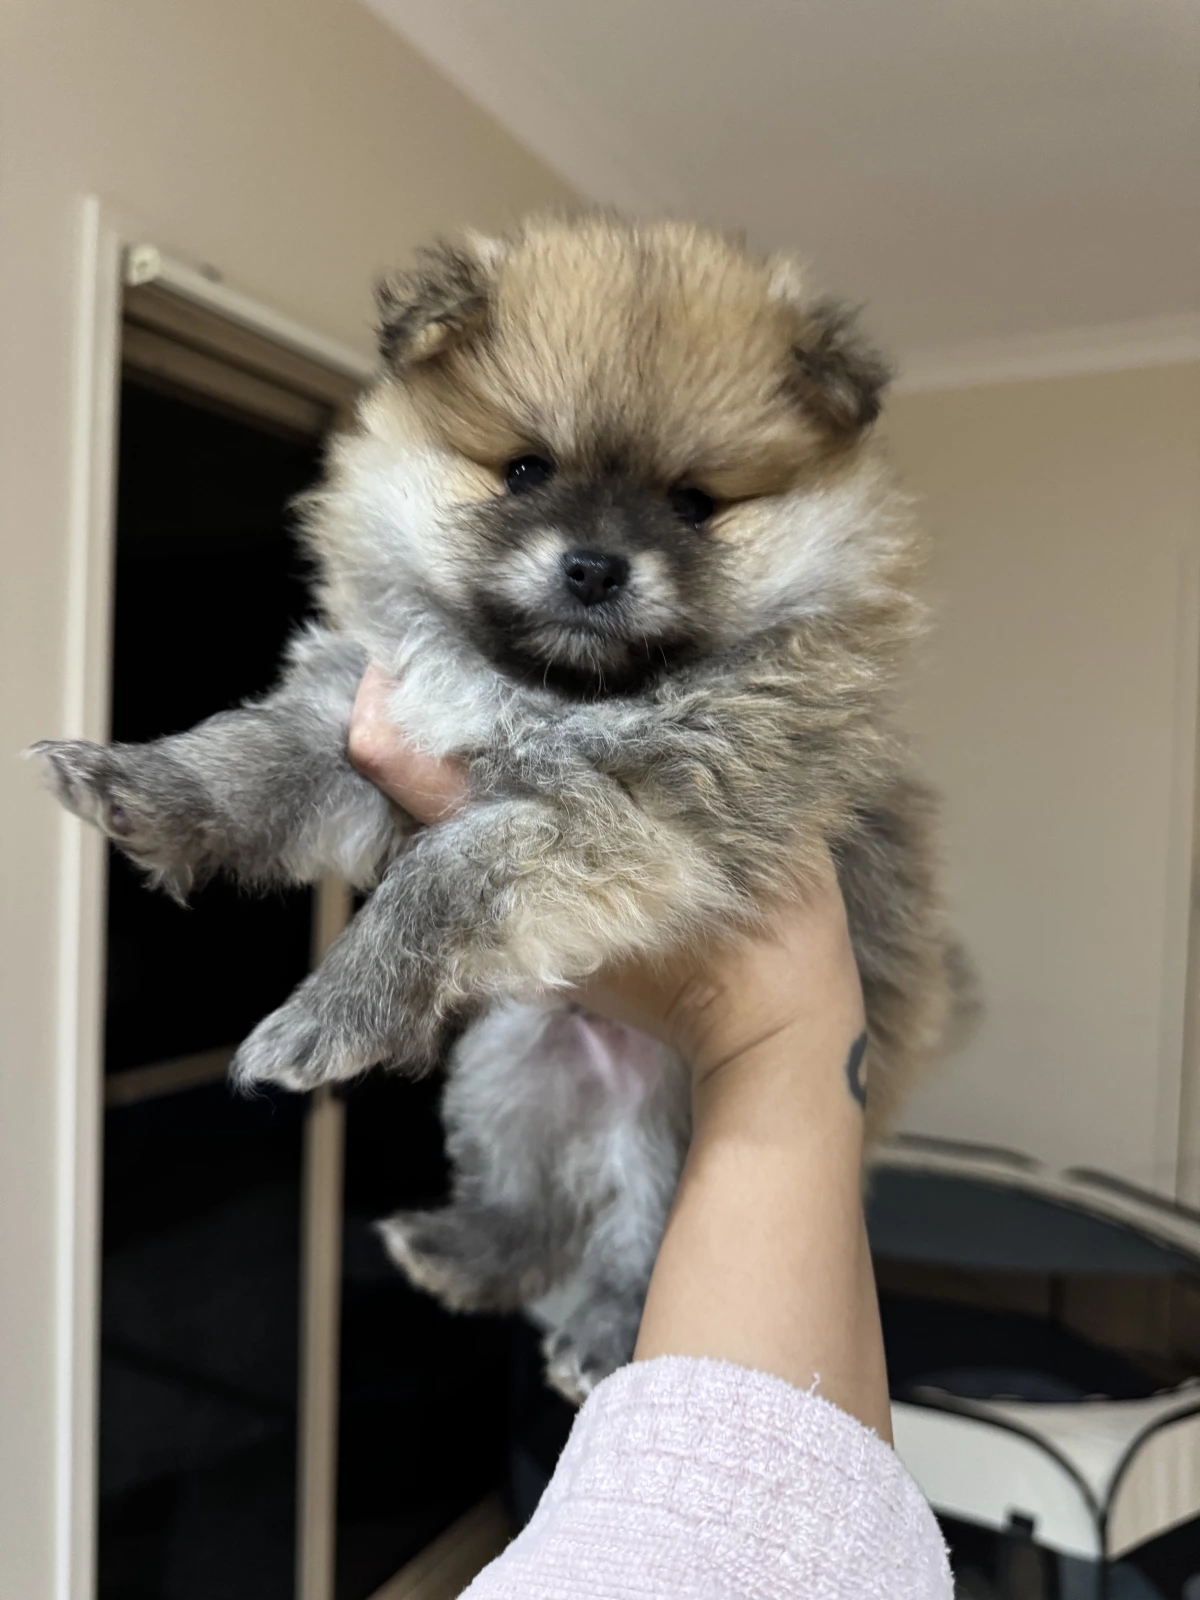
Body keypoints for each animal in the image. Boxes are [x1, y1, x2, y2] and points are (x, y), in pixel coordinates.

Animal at [34, 215, 972, 1400]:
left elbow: (446, 876)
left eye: (692, 503)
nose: (595, 566)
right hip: (506, 1066)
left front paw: (332, 1010)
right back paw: (457, 1250)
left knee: (635, 1236)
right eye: (526, 469)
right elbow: (252, 758)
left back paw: (603, 1335)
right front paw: (142, 785)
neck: (549, 688)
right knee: (534, 1212)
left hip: (685, 1121)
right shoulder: (371, 719)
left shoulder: (632, 817)